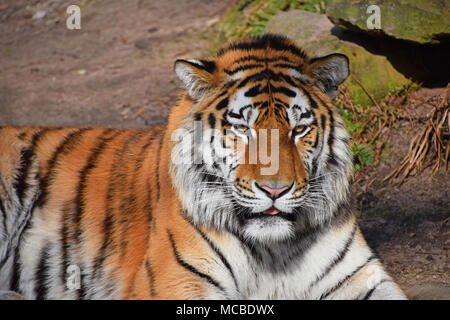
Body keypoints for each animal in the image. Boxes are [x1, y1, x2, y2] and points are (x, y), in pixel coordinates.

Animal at [0, 33, 406, 298]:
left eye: (299, 129)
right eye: (242, 129)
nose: (275, 190)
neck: (273, 251)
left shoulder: (358, 275)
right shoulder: (178, 282)